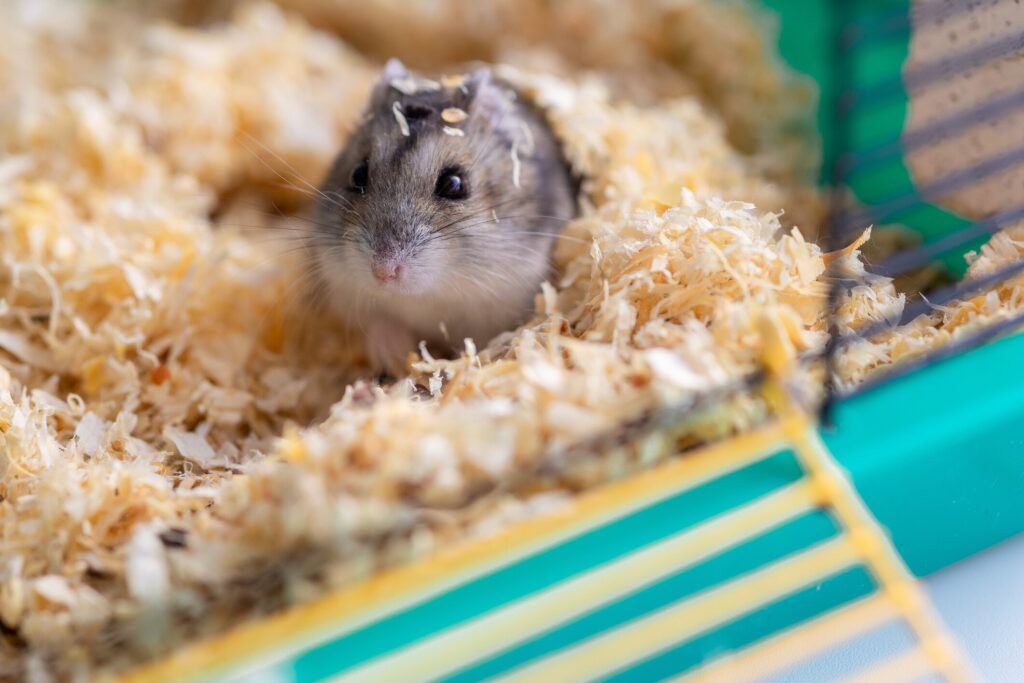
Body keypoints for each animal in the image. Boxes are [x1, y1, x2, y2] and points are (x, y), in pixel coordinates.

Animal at [309, 59, 577, 376]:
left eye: (454, 183)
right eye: (357, 174)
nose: (383, 272)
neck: (428, 294)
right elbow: (380, 323)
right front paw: (394, 356)